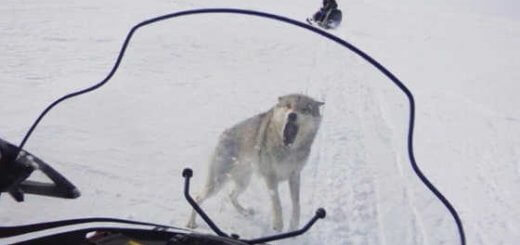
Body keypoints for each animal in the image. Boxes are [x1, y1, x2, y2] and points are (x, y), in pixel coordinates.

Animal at [187, 93, 322, 232]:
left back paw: (245, 212)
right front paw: (278, 225)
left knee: (231, 195)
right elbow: (277, 202)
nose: (292, 115)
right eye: (288, 106)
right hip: (218, 182)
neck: (288, 149)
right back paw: (191, 224)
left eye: (305, 110)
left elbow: (296, 204)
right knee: (198, 197)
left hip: (243, 182)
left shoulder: (295, 175)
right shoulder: (271, 177)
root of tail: (224, 134)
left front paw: (294, 225)